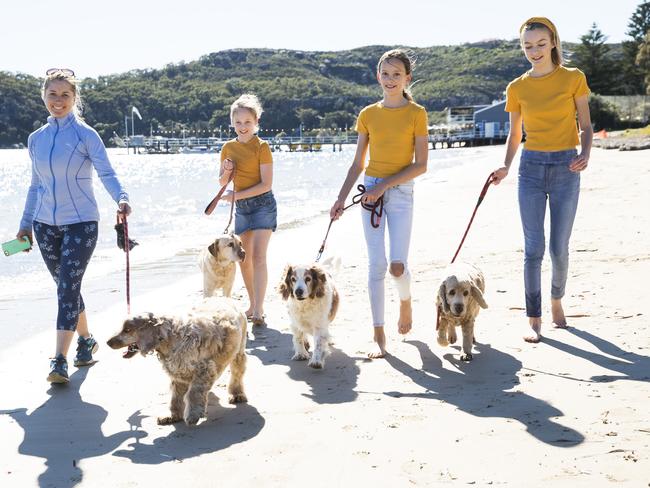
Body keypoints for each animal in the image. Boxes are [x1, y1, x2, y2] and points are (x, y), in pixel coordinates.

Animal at [106, 296, 248, 426]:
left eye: (127, 330)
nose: (107, 342)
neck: (169, 338)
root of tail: (225, 298)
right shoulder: (178, 372)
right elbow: (175, 397)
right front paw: (172, 415)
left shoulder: (204, 369)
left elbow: (193, 393)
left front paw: (193, 414)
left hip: (239, 351)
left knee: (237, 372)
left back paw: (237, 394)